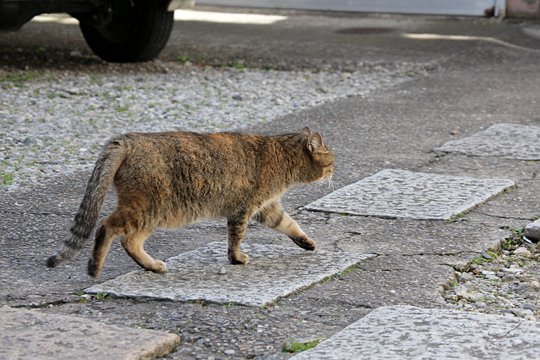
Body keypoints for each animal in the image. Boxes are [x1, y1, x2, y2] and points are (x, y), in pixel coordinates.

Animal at [46, 128, 334, 278]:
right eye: (331, 159)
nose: (334, 169)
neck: (283, 155)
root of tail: (127, 139)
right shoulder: (245, 208)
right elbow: (236, 238)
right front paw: (236, 258)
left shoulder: (268, 208)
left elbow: (290, 224)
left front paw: (306, 242)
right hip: (146, 208)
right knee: (107, 227)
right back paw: (94, 267)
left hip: (152, 213)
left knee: (130, 241)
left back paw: (152, 265)